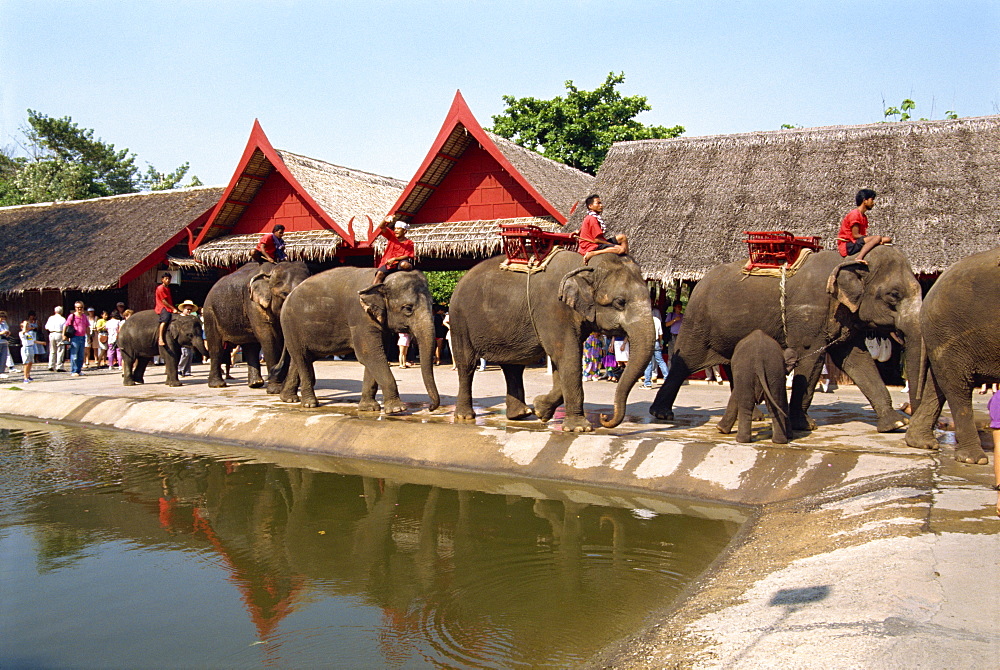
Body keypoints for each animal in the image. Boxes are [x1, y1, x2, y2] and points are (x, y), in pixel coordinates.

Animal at [202, 258, 308, 394]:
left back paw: (256, 384)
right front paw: (275, 390)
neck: (270, 272)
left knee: (251, 346)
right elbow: (269, 338)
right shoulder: (252, 303)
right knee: (216, 347)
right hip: (210, 313)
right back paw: (218, 385)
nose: (273, 372)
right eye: (284, 293)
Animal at [280, 268, 440, 414]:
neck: (381, 282)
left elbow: (376, 355)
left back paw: (289, 399)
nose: (430, 408)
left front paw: (369, 408)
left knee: (302, 358)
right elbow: (369, 354)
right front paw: (397, 409)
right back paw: (309, 404)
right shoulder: (360, 316)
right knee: (301, 357)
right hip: (290, 325)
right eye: (407, 308)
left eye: (432, 304)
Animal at [448, 249, 652, 434]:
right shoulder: (553, 309)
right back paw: (465, 417)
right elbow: (567, 356)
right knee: (467, 364)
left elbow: (561, 361)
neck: (584, 265)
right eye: (620, 302)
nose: (605, 417)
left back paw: (520, 414)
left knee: (513, 366)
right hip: (459, 320)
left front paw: (541, 410)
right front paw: (580, 428)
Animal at [648, 247, 920, 436]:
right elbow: (811, 360)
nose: (908, 411)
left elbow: (856, 360)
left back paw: (755, 417)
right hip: (699, 322)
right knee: (685, 361)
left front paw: (896, 424)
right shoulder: (810, 315)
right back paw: (661, 413)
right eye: (893, 295)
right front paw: (806, 426)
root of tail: (700, 283)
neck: (851, 259)